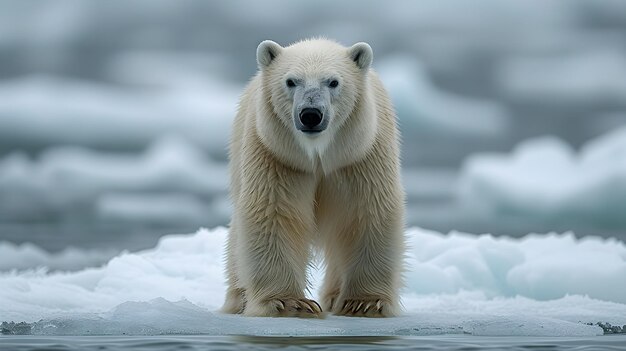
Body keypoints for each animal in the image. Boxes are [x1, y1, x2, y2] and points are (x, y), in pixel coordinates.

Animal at [222, 38, 402, 320]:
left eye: (333, 82)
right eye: (291, 81)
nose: (310, 114)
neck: (318, 154)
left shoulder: (360, 156)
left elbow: (366, 212)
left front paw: (364, 303)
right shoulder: (279, 157)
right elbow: (274, 214)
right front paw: (290, 303)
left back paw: (334, 296)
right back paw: (238, 300)